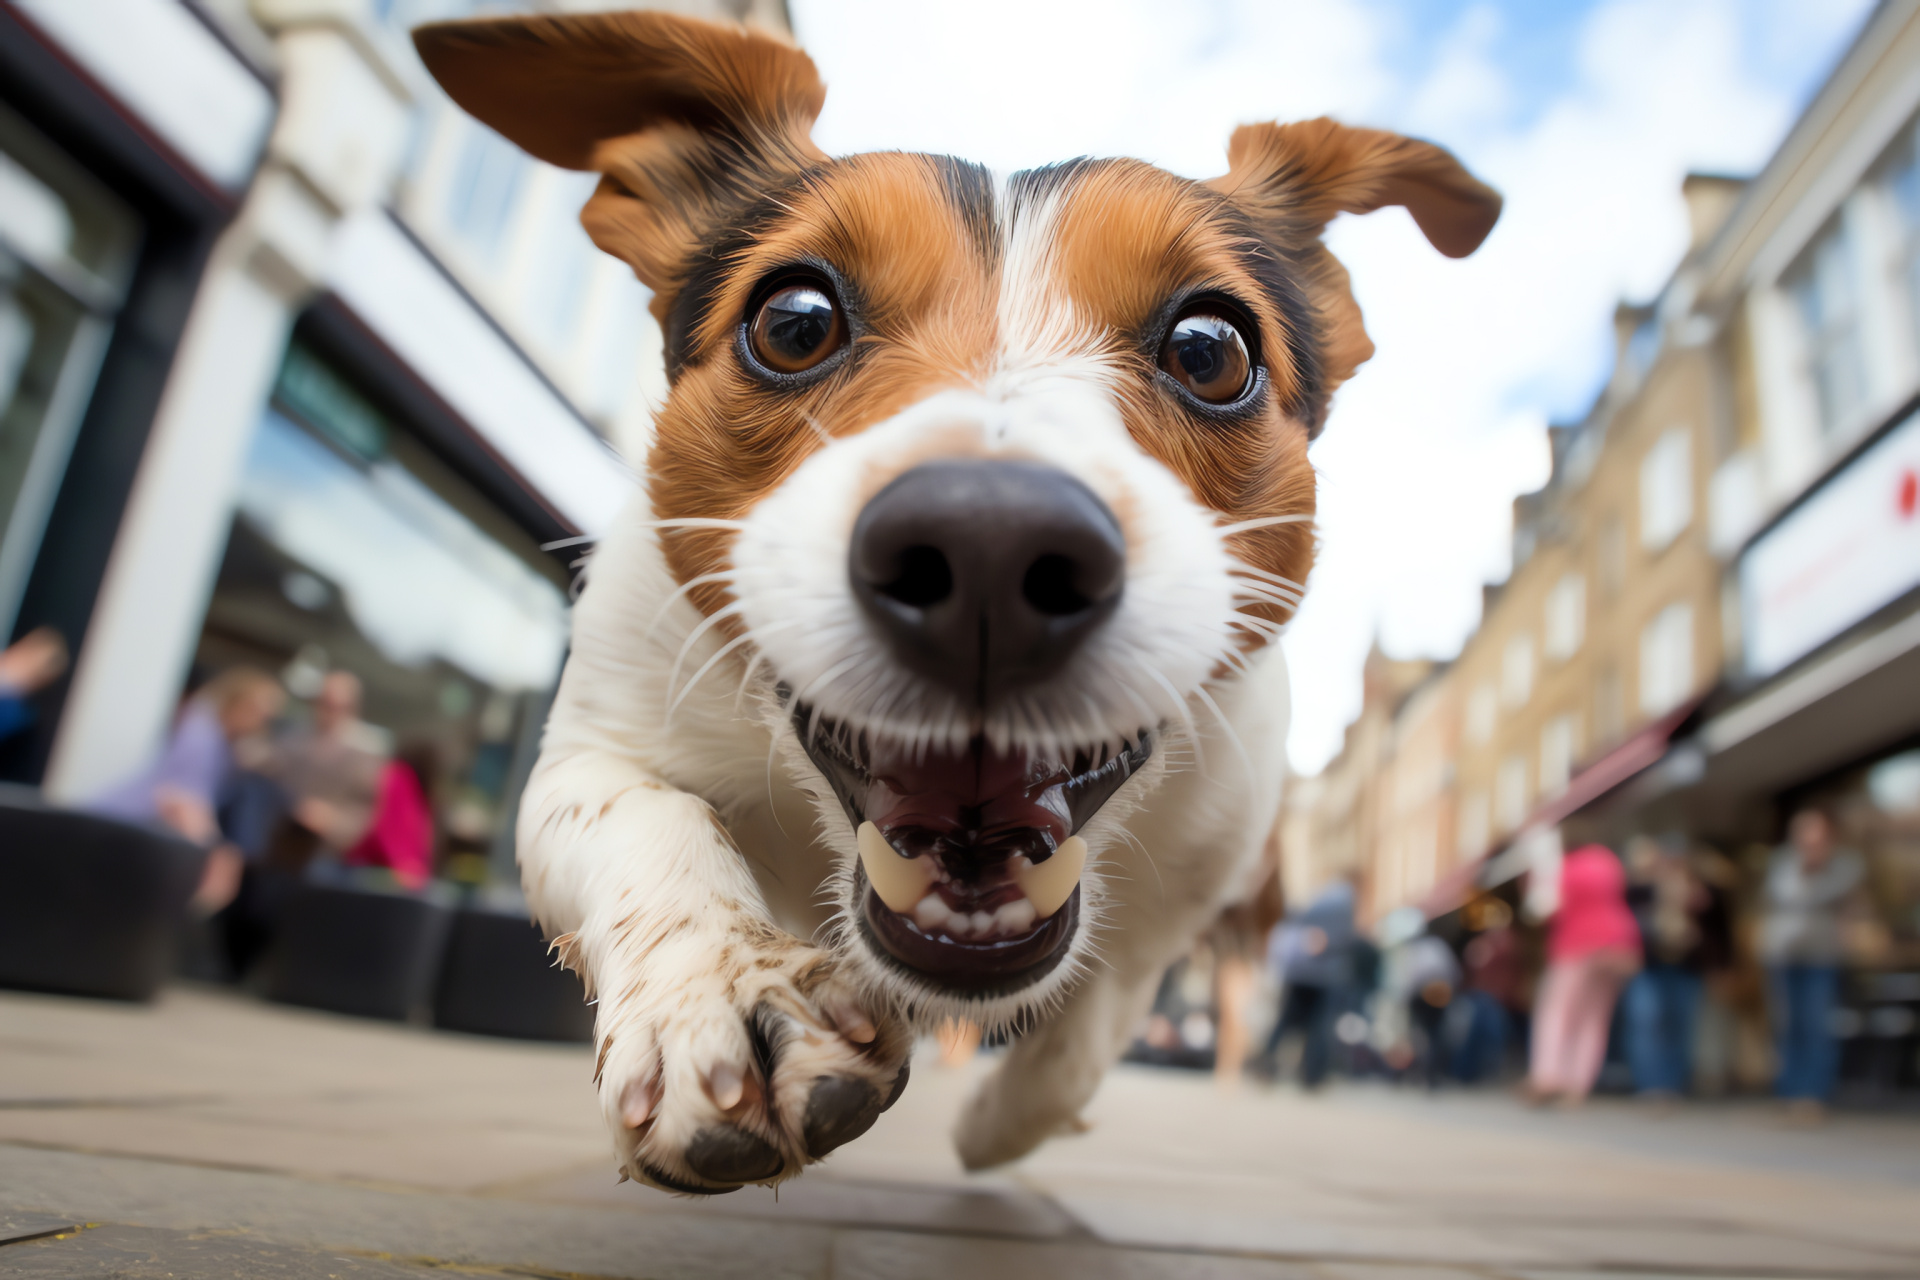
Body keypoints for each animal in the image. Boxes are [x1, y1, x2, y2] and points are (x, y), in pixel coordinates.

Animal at [416, 10, 1497, 1197]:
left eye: (1211, 348)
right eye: (793, 320)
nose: (990, 546)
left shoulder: (1201, 874)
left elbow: (1104, 1004)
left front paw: (1005, 1118)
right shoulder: (589, 750)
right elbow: (647, 820)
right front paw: (727, 995)